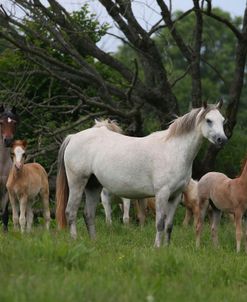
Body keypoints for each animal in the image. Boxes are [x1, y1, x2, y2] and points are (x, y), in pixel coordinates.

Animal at [57, 100, 227, 247]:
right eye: (208, 120)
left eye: (223, 120)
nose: (222, 139)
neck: (173, 151)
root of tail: (73, 137)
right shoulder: (162, 194)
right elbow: (160, 223)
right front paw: (157, 247)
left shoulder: (175, 196)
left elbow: (169, 225)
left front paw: (167, 248)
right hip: (77, 183)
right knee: (71, 212)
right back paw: (74, 240)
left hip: (93, 186)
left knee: (88, 215)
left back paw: (94, 242)